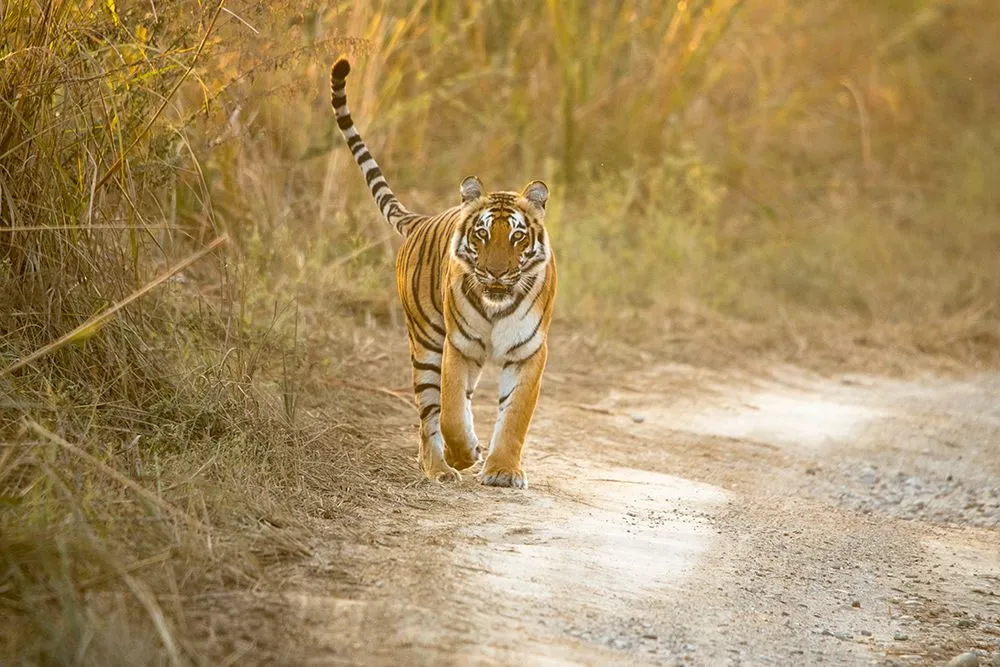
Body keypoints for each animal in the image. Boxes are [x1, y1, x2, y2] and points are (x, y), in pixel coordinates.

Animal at [329, 58, 556, 489]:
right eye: (482, 234)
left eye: (517, 236)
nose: (496, 273)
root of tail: (419, 220)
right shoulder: (458, 345)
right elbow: (449, 413)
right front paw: (464, 453)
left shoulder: (528, 352)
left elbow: (515, 416)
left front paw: (502, 470)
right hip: (426, 342)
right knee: (429, 414)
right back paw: (440, 467)